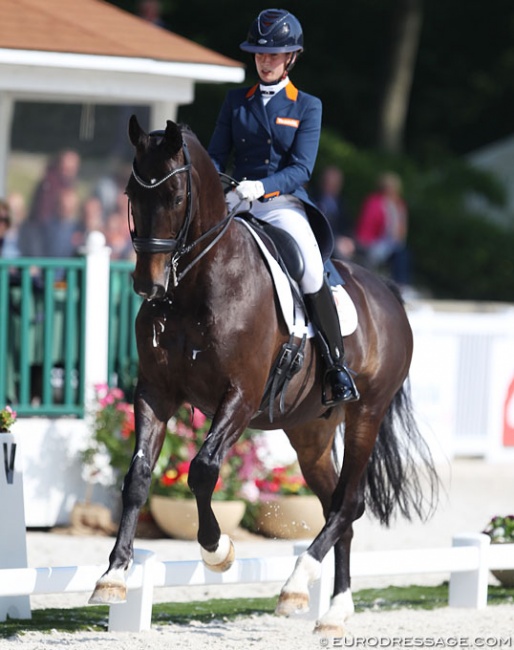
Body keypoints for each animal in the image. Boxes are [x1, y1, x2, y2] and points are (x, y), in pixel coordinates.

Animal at [89, 116, 436, 632]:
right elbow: (137, 477)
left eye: (175, 196)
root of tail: (388, 294)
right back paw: (334, 607)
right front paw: (113, 575)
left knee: (346, 504)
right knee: (338, 504)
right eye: (132, 192)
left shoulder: (241, 396)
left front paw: (218, 551)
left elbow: (202, 469)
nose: (148, 284)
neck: (196, 285)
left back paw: (298, 583)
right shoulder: (155, 391)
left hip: (366, 415)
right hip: (310, 432)